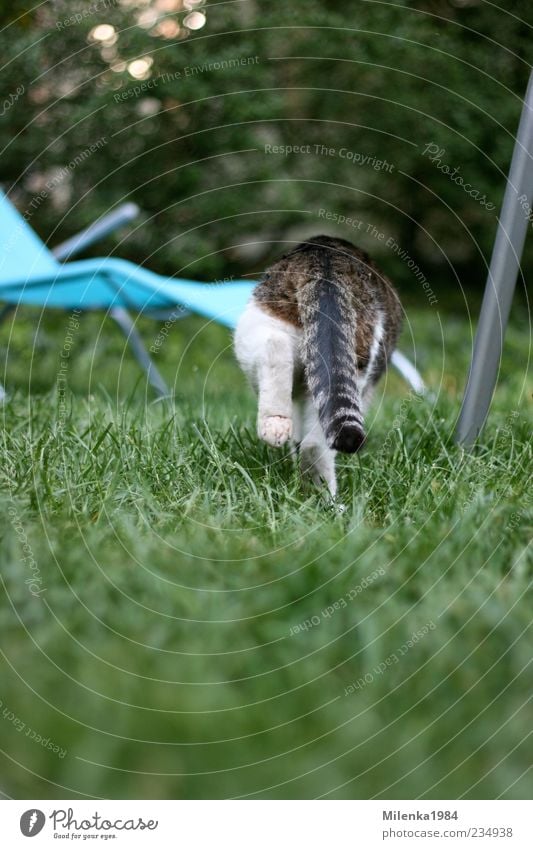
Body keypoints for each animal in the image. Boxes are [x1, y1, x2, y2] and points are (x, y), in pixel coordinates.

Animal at [235, 234, 402, 496]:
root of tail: (325, 259)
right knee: (317, 444)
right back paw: (327, 498)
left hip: (263, 329)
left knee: (275, 347)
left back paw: (277, 426)